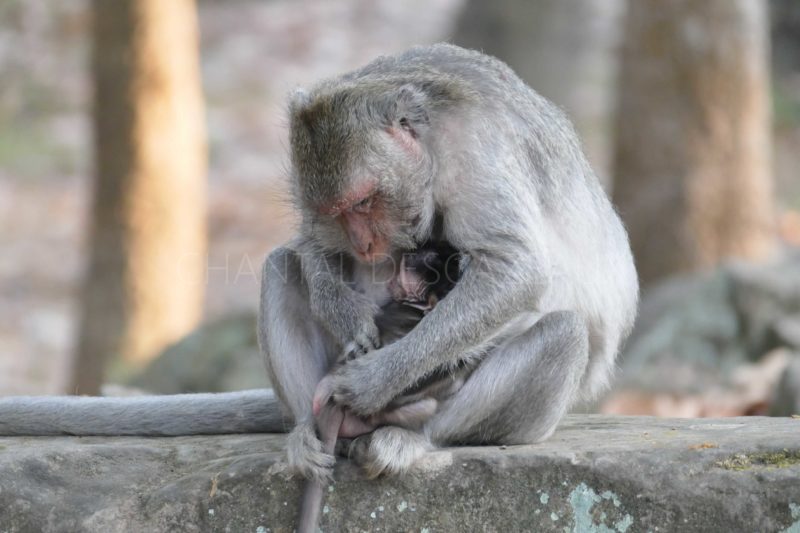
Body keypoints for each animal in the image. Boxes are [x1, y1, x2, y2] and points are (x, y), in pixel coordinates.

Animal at [262, 43, 636, 480]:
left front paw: (372, 381)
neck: (432, 140)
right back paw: (310, 435)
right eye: (334, 212)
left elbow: (515, 269)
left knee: (565, 332)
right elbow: (310, 241)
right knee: (279, 266)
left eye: (364, 202)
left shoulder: (476, 157)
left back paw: (415, 440)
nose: (363, 243)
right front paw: (343, 312)